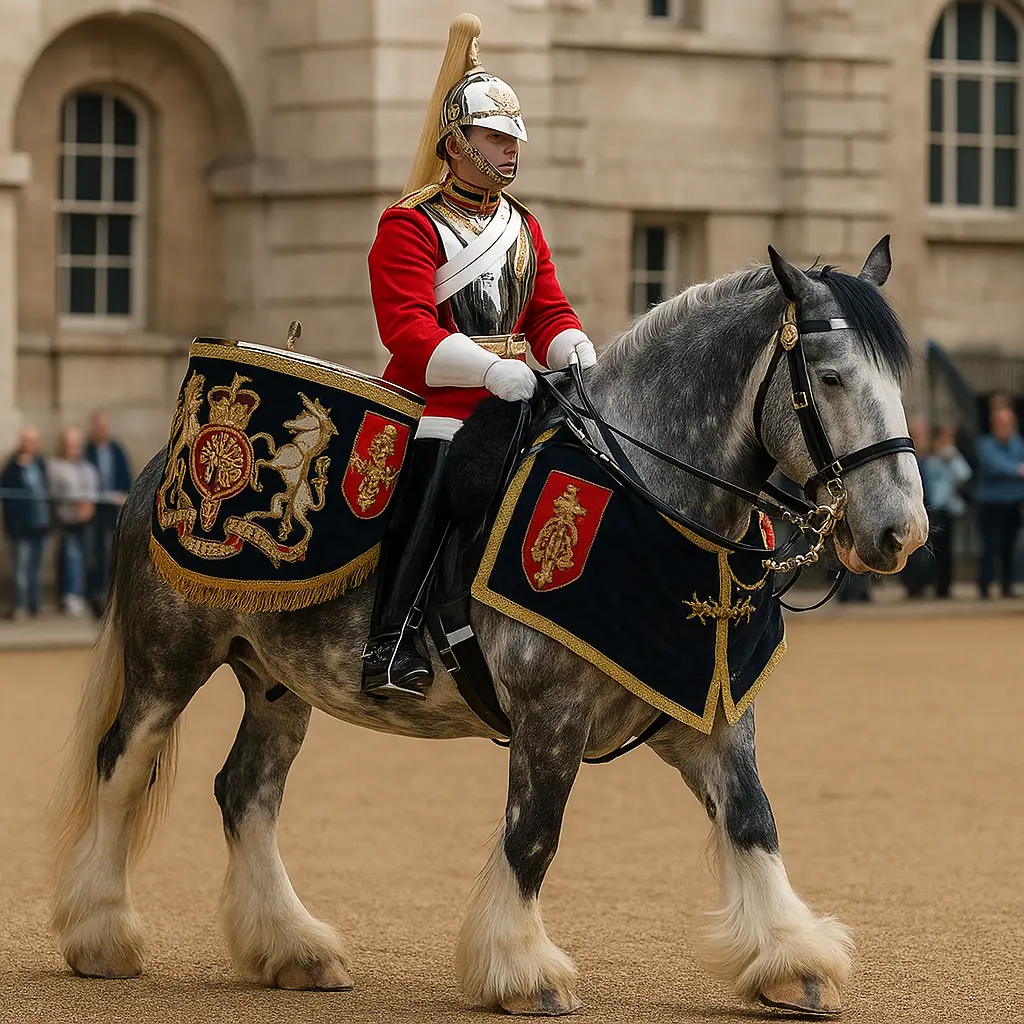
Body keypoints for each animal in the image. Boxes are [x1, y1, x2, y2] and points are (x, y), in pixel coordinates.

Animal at [49, 237, 926, 1017]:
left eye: (899, 380)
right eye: (831, 377)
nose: (901, 533)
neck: (651, 505)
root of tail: (155, 467)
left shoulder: (709, 713)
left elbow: (753, 821)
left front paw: (791, 960)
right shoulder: (549, 713)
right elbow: (534, 833)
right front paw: (523, 970)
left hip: (276, 681)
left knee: (247, 791)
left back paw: (292, 948)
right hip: (170, 658)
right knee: (122, 767)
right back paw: (101, 935)